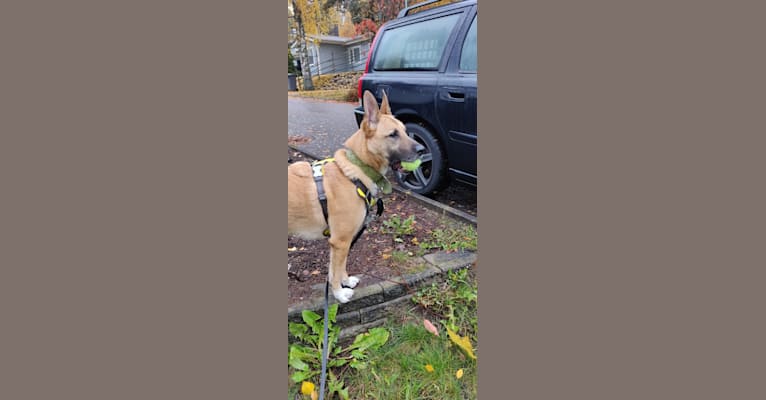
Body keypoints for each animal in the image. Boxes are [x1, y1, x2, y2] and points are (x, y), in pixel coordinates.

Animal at [290, 90, 426, 304]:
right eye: (393, 134)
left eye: (405, 131)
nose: (422, 150)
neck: (355, 170)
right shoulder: (340, 241)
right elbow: (335, 270)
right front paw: (339, 293)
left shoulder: (339, 243)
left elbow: (336, 269)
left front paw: (344, 281)